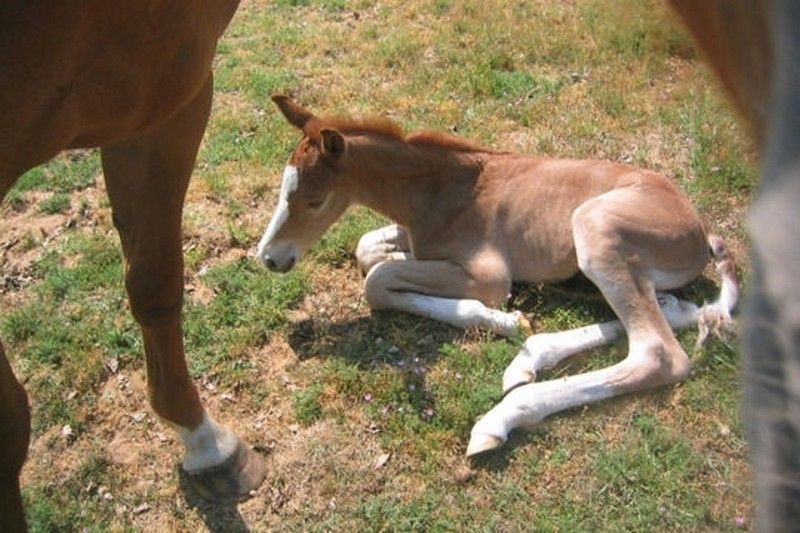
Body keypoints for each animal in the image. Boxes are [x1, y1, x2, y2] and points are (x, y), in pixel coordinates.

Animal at [258, 93, 736, 456]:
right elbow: (367, 250)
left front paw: (501, 320)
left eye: (315, 200)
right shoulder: (416, 241)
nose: (268, 258)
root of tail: (697, 231)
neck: (439, 194)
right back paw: (530, 359)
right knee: (673, 309)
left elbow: (377, 280)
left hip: (594, 227)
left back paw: (504, 415)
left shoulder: (489, 276)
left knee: (659, 352)